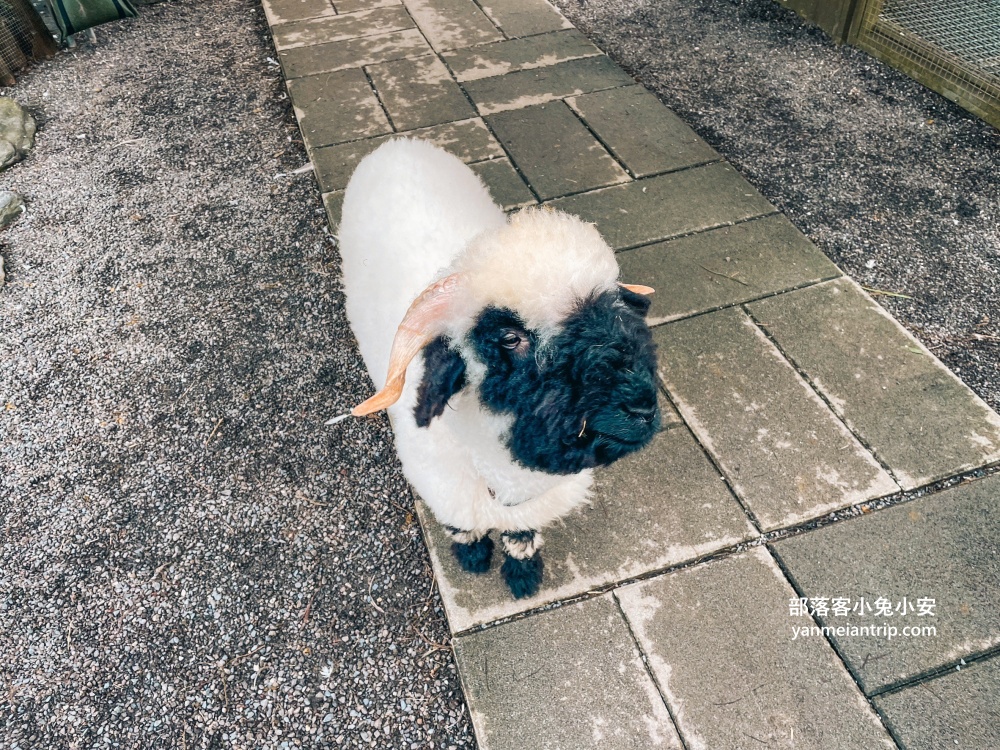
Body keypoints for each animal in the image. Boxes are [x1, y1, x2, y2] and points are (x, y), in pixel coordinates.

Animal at [340, 138, 660, 604]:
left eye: (615, 308)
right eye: (510, 338)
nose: (642, 410)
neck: (499, 469)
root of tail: (399, 144)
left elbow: (521, 535)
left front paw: (523, 576)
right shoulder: (447, 490)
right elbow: (463, 528)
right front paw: (473, 558)